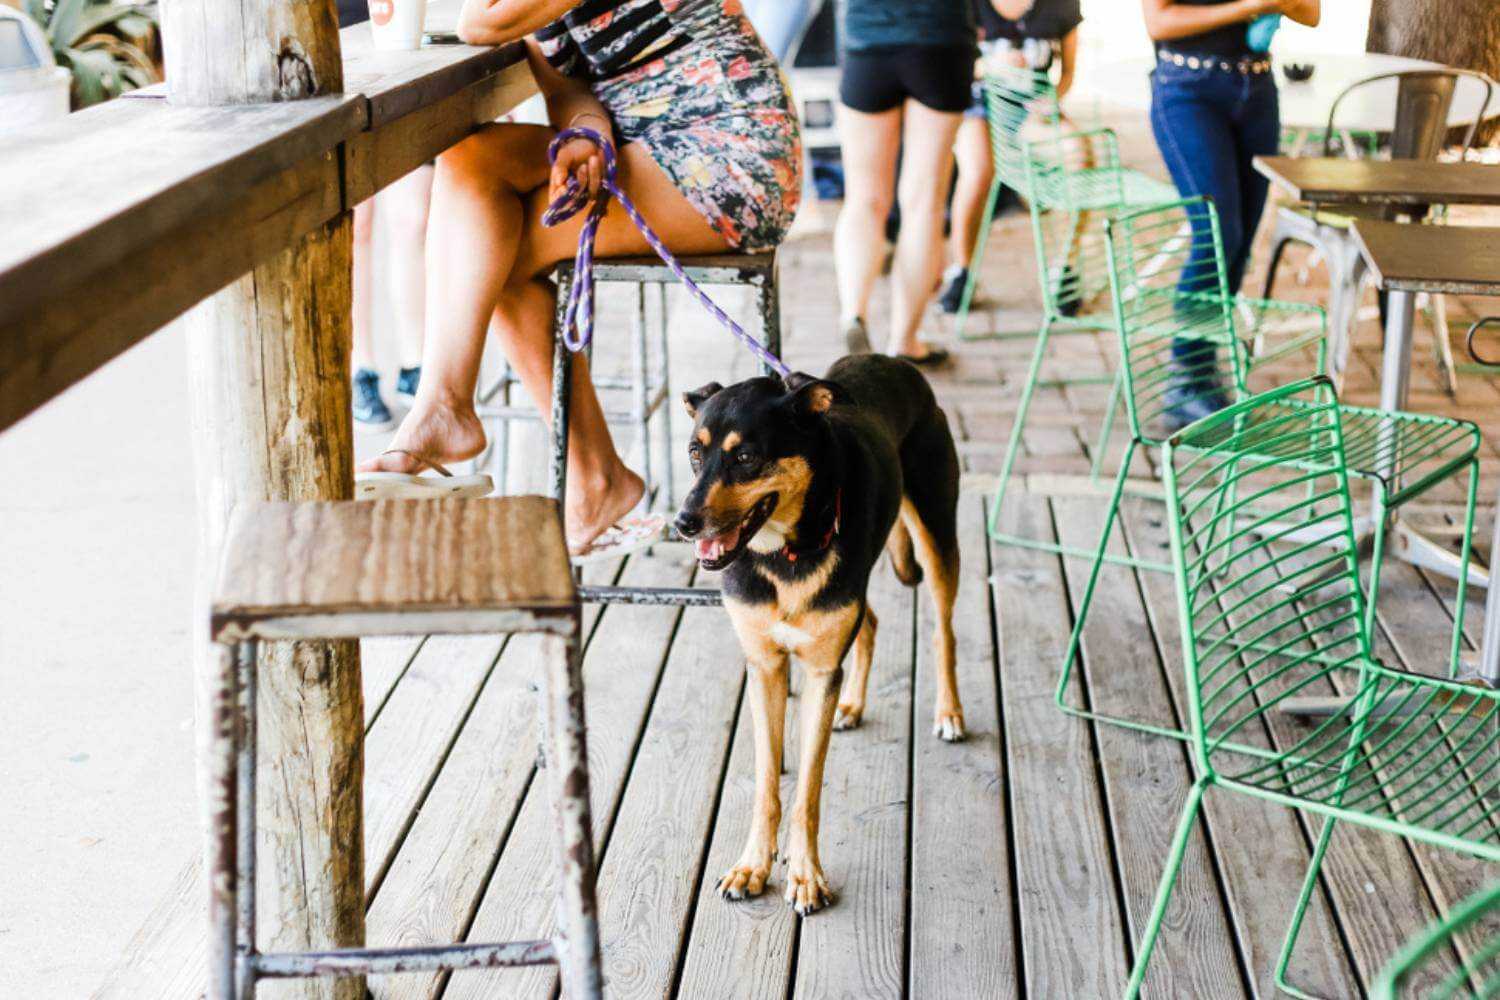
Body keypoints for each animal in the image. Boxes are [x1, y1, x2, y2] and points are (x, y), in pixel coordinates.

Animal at [678, 353, 966, 917]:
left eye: (746, 457)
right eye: (695, 453)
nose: (683, 522)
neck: (784, 554)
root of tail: (893, 361)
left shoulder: (818, 671)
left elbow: (807, 792)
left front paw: (806, 874)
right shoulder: (766, 667)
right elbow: (768, 782)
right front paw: (753, 865)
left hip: (937, 537)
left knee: (944, 633)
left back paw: (948, 712)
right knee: (870, 622)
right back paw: (852, 704)